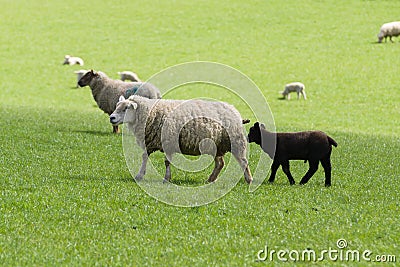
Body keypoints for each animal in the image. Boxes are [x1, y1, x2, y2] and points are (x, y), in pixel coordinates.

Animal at [108, 95, 253, 185]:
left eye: (126, 108)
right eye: (117, 106)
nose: (112, 118)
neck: (151, 113)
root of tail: (234, 110)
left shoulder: (168, 142)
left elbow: (167, 162)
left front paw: (166, 179)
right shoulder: (151, 143)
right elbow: (144, 157)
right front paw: (140, 175)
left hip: (236, 141)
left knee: (243, 161)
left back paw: (249, 179)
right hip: (217, 146)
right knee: (220, 164)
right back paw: (211, 179)